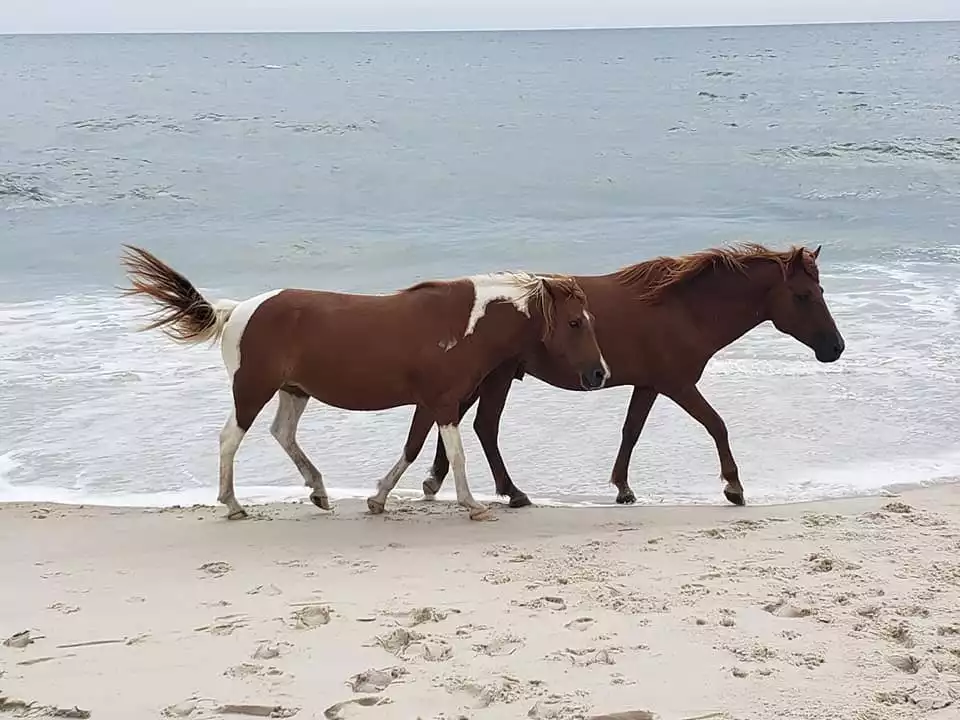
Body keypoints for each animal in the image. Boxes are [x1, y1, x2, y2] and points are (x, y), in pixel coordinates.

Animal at [119, 245, 609, 521]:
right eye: (574, 322)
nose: (599, 374)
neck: (463, 325)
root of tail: (237, 309)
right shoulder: (445, 403)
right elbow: (457, 454)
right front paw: (473, 506)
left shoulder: (430, 403)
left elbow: (412, 448)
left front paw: (378, 499)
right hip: (252, 389)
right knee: (230, 439)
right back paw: (234, 504)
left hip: (294, 391)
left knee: (283, 434)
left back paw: (318, 491)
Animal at [409, 244, 845, 508]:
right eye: (804, 295)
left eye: (821, 291)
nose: (836, 347)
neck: (683, 309)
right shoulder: (678, 385)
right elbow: (716, 425)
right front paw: (733, 486)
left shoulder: (649, 385)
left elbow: (631, 431)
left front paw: (622, 487)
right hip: (497, 378)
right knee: (484, 426)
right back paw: (511, 492)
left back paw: (436, 481)